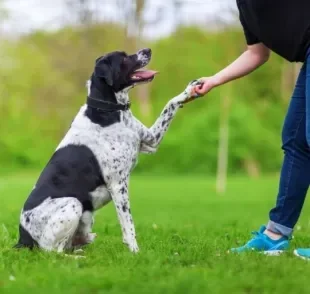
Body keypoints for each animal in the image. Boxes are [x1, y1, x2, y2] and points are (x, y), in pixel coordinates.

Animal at [13, 47, 199, 253]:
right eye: (124, 58)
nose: (147, 49)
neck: (109, 110)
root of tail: (22, 238)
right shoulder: (118, 185)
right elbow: (128, 224)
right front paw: (135, 252)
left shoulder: (151, 141)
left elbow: (169, 105)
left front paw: (189, 90)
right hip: (73, 204)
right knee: (54, 251)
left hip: (85, 217)